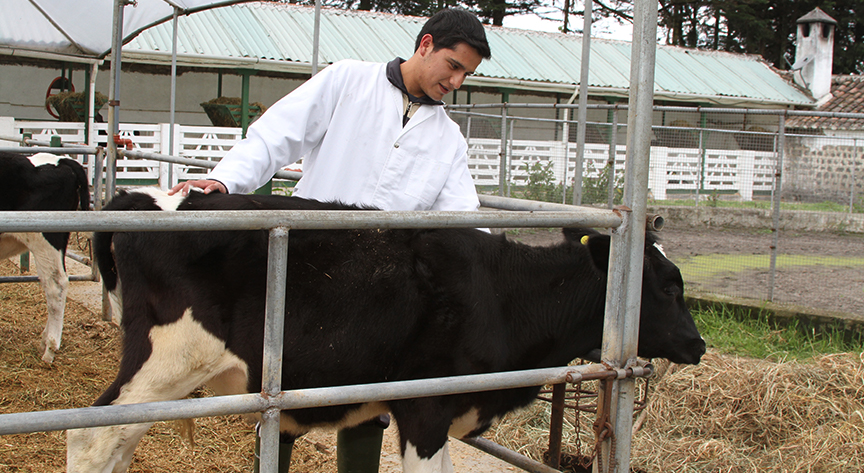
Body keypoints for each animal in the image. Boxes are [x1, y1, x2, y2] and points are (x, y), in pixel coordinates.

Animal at [66, 186, 704, 470]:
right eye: (669, 286)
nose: (698, 344)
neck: (501, 295)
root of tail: (143, 199)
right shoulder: (424, 408)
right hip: (168, 359)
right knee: (90, 436)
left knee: (118, 440)